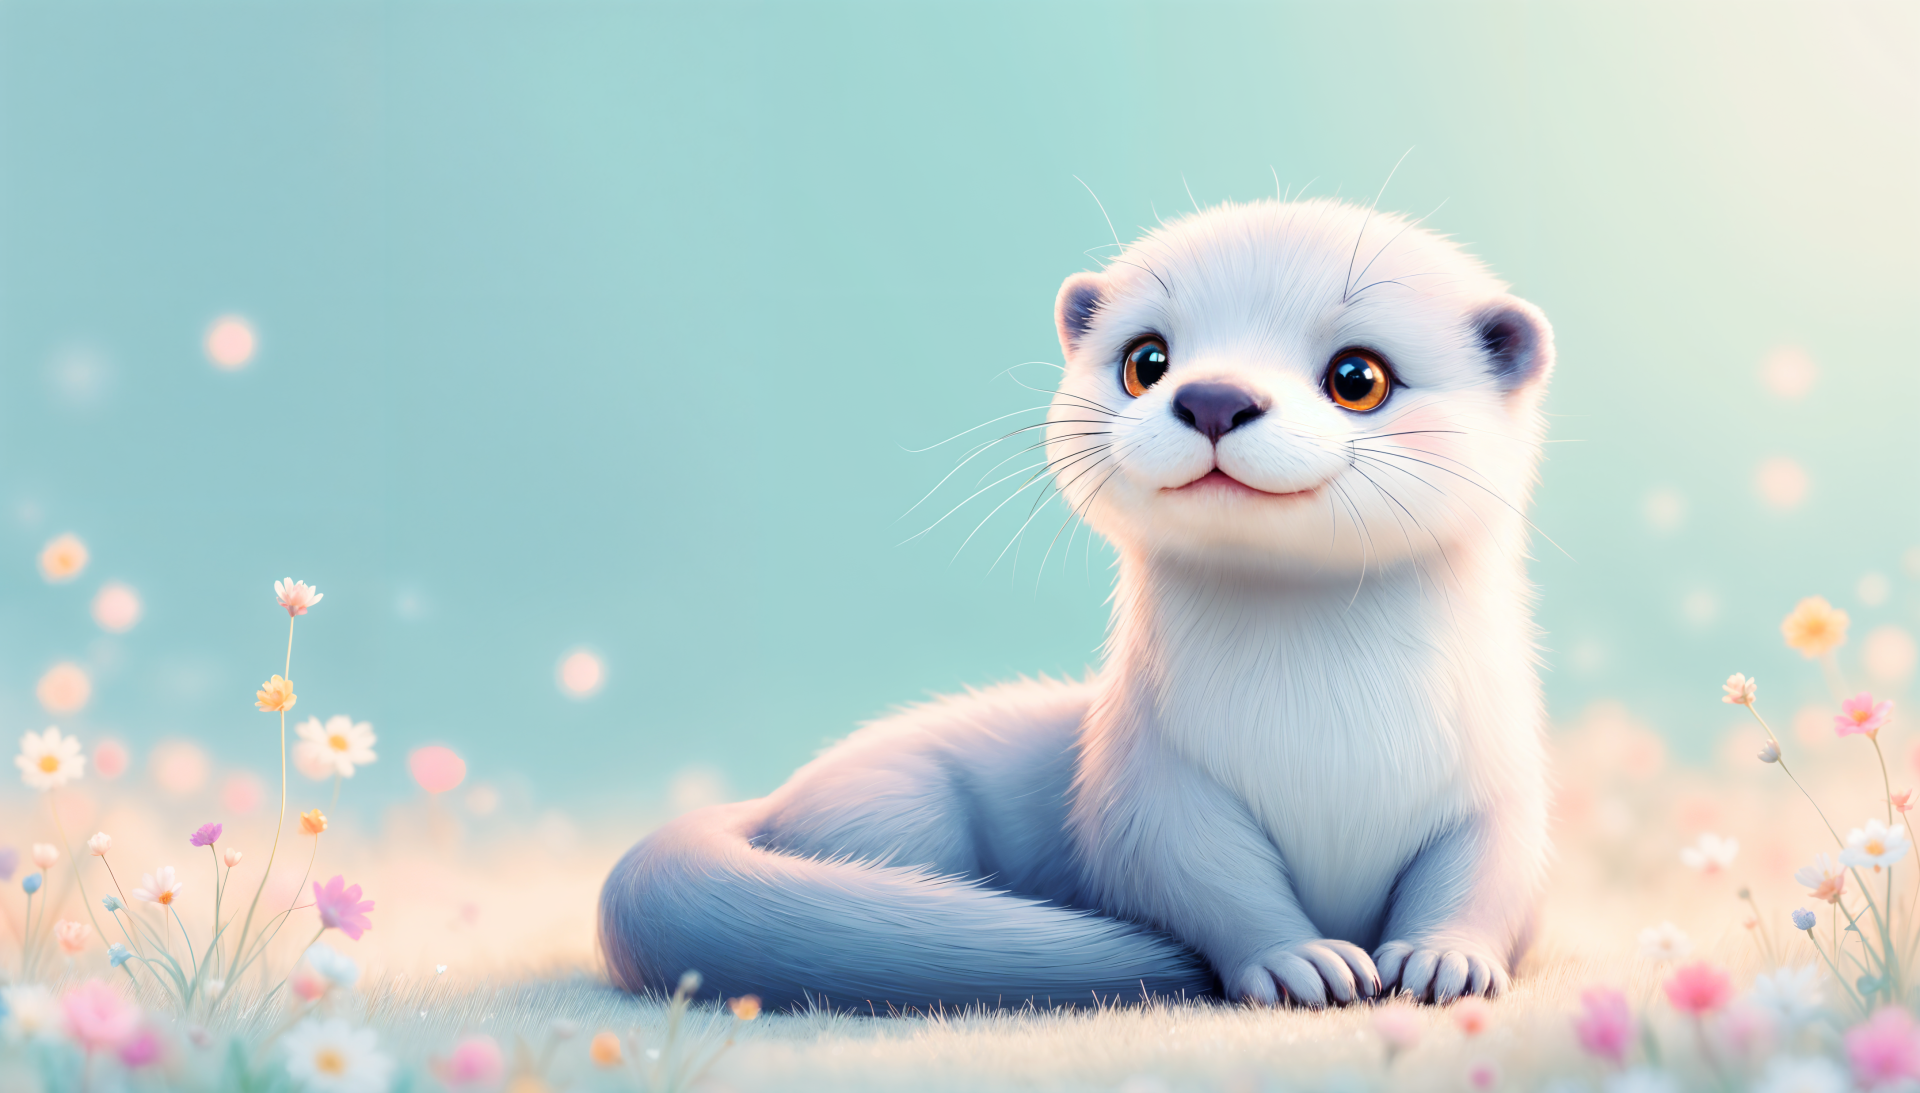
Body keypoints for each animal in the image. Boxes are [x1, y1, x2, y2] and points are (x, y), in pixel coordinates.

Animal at [600, 198, 1553, 1010]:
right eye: (1147, 360)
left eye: (1359, 375)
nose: (1212, 396)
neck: (1329, 741)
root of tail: (773, 802)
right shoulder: (1149, 780)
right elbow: (1205, 878)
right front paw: (1300, 961)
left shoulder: (1505, 773)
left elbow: (1491, 870)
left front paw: (1446, 959)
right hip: (886, 805)